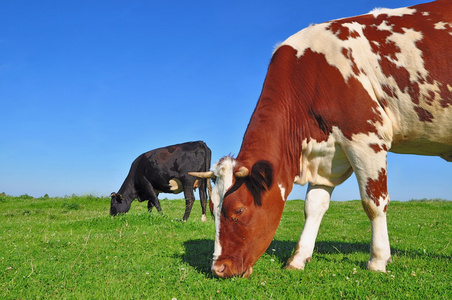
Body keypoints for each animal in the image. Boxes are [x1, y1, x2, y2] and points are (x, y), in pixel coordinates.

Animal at [192, 0, 452, 278]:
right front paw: (298, 258)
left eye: (238, 209)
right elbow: (313, 206)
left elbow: (373, 203)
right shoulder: (328, 154)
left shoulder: (366, 137)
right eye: (212, 209)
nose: (218, 268)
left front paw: (378, 260)